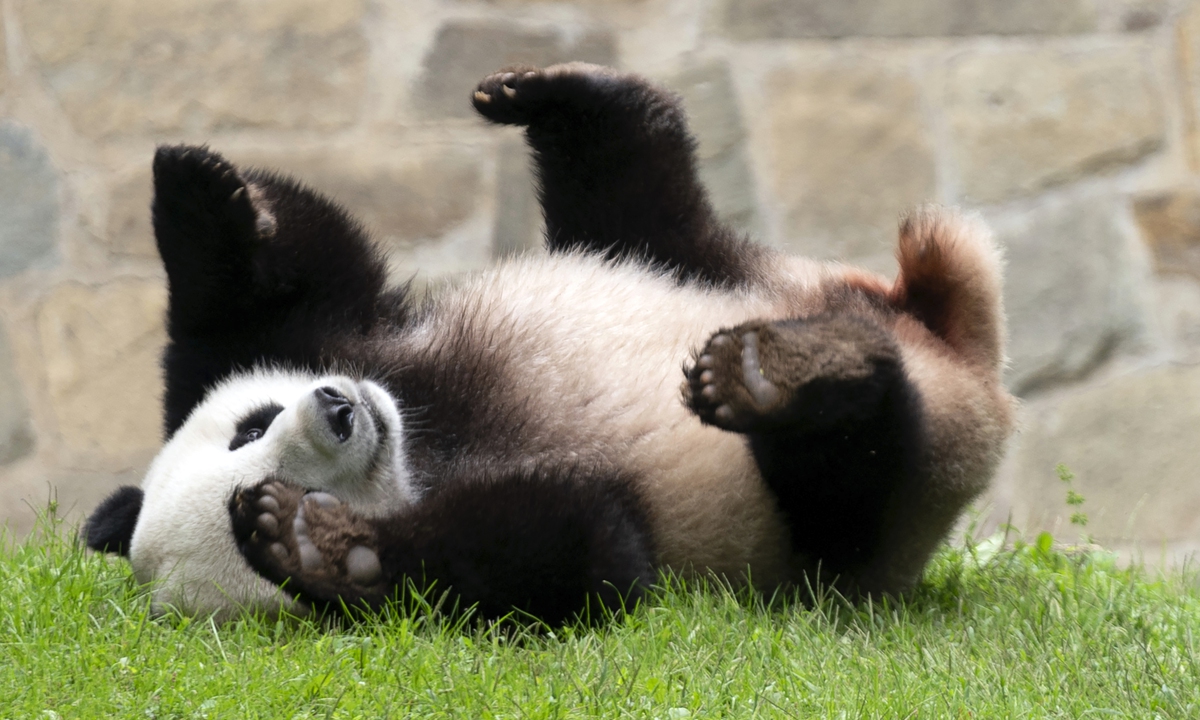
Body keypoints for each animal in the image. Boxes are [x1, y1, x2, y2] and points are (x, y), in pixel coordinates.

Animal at [83, 63, 1014, 624]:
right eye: (269, 464)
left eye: (250, 426)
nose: (340, 410)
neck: (425, 439)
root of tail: (957, 350)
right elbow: (583, 555)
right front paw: (319, 545)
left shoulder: (347, 340)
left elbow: (286, 288)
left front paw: (197, 191)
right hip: (858, 523)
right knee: (854, 472)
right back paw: (786, 378)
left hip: (726, 269)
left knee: (643, 201)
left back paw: (563, 98)